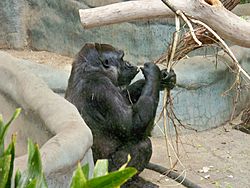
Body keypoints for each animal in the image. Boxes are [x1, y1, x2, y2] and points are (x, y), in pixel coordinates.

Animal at [65, 42, 177, 173]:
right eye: (122, 58)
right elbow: (131, 124)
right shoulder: (101, 86)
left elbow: (126, 95)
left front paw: (165, 77)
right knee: (143, 145)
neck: (90, 70)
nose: (129, 63)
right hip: (103, 171)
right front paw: (154, 73)